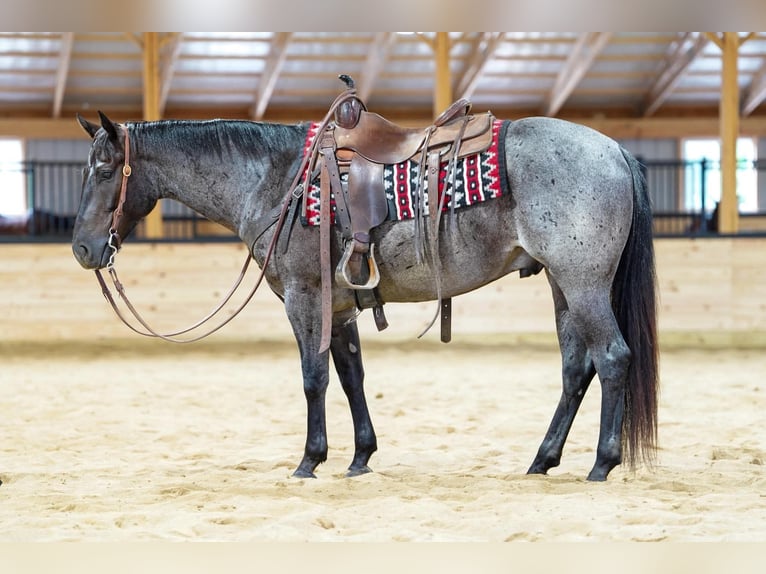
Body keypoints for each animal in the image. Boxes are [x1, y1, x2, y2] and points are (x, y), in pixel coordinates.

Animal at [71, 104, 658, 482]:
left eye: (105, 169)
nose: (81, 247)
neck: (276, 179)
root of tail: (613, 149)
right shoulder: (339, 307)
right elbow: (351, 376)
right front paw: (360, 457)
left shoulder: (303, 297)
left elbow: (313, 378)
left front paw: (309, 461)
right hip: (563, 286)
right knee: (576, 369)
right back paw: (542, 460)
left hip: (583, 283)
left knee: (612, 357)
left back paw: (601, 464)